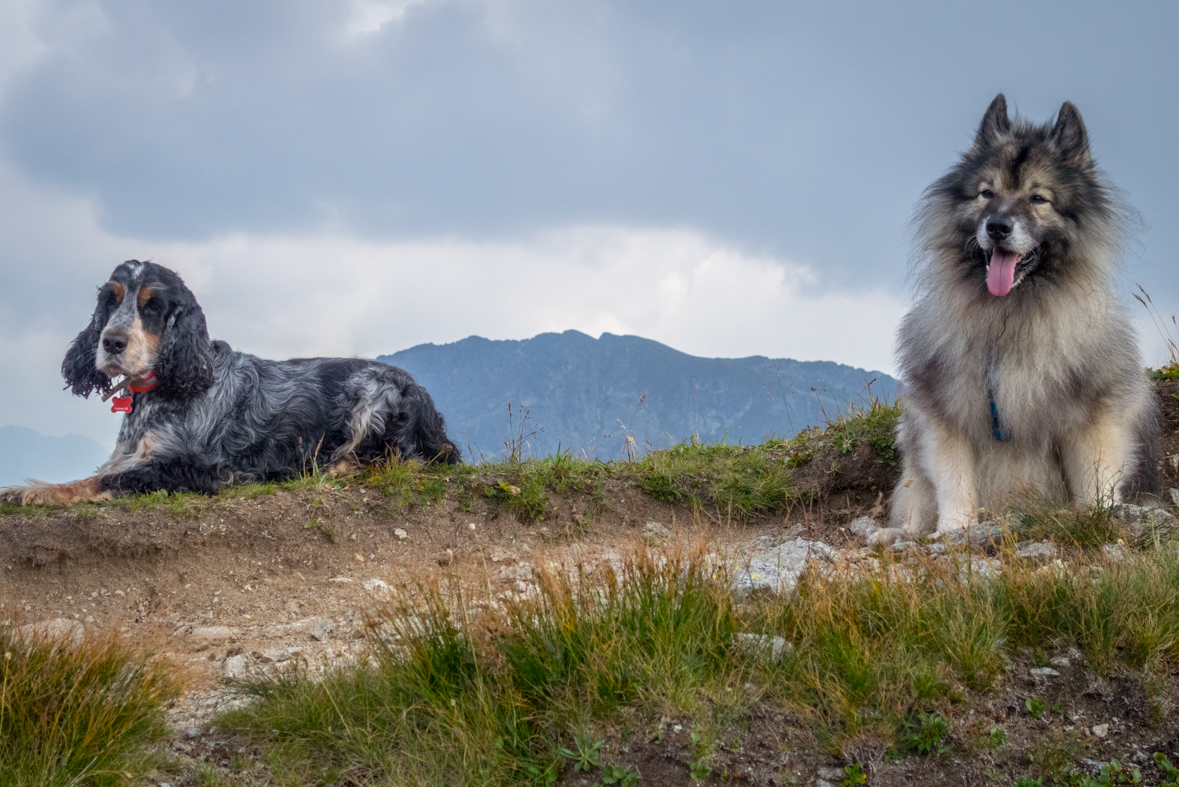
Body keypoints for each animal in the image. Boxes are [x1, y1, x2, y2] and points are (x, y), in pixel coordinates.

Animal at [867, 93, 1160, 546]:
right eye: (986, 193)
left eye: (1038, 198)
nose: (998, 226)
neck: (1009, 316)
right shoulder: (946, 413)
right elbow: (955, 482)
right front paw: (954, 531)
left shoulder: (1092, 417)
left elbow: (1096, 481)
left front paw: (1100, 518)